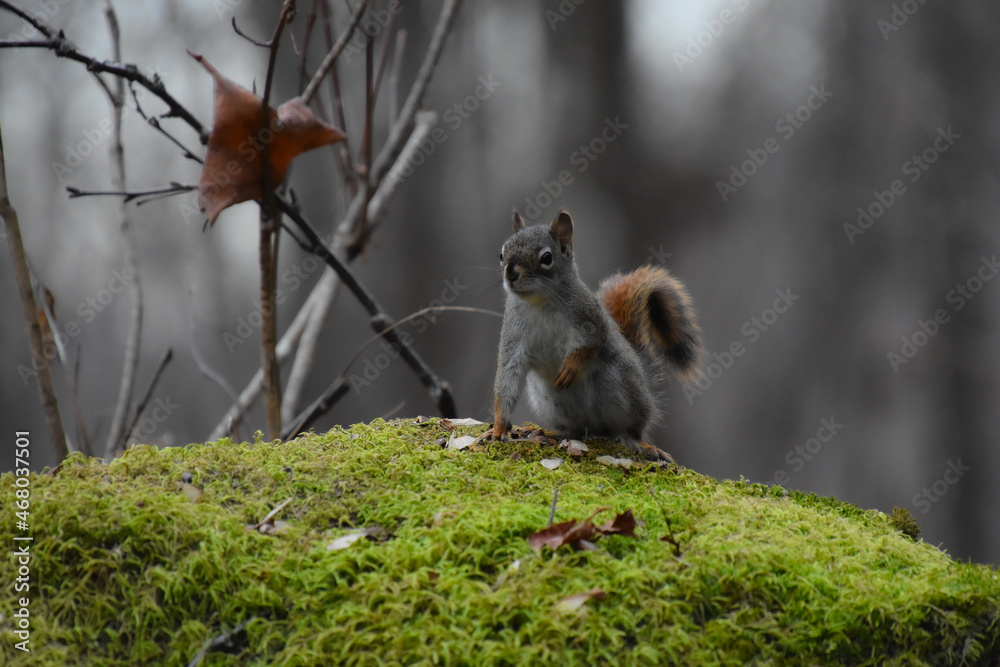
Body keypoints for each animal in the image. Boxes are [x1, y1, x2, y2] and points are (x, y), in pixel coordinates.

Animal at [490, 209, 703, 462]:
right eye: (502, 254)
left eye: (546, 258)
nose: (511, 273)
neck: (539, 302)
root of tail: (595, 428)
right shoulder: (513, 334)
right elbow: (507, 377)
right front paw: (498, 428)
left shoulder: (590, 317)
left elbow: (594, 342)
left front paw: (571, 365)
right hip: (547, 401)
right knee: (574, 430)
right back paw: (549, 432)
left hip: (622, 385)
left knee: (632, 429)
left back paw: (640, 442)